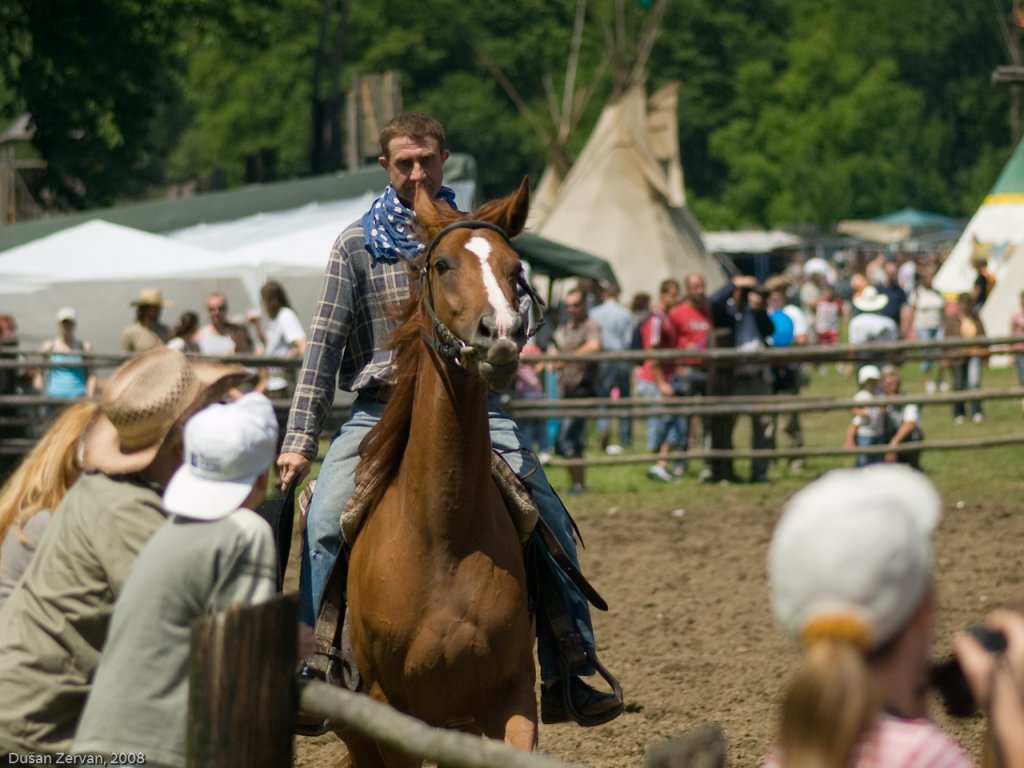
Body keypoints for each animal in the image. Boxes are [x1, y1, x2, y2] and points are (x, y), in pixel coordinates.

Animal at [342, 177, 540, 765]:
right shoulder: (389, 711)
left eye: (514, 268)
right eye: (444, 265)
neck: (440, 536)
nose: (501, 333)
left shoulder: (511, 697)